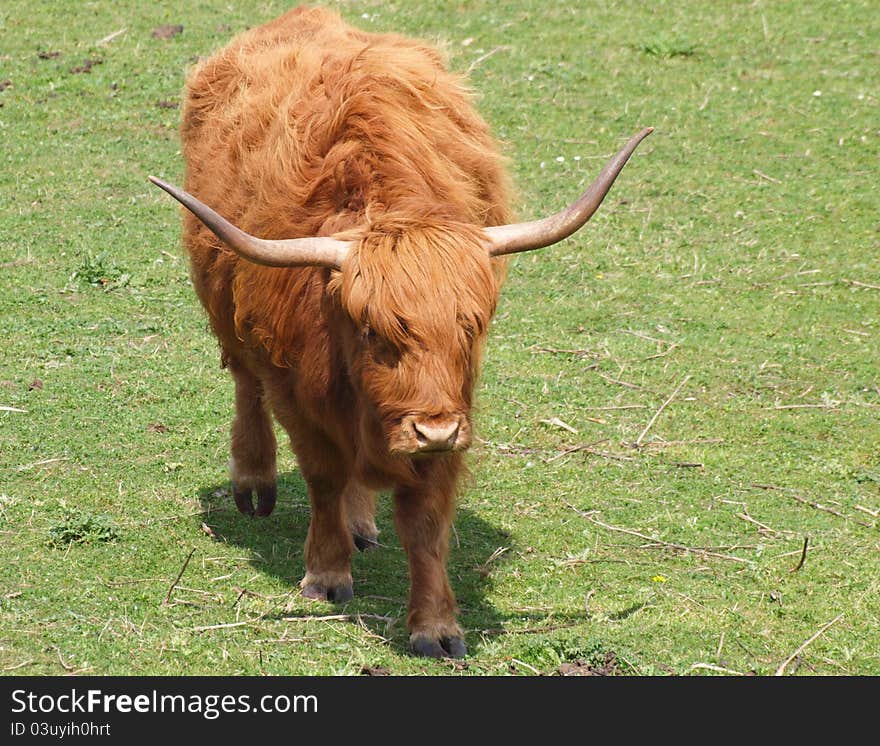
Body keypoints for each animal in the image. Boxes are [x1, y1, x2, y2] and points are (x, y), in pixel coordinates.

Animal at [151, 7, 648, 656]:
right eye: (371, 330)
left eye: (471, 326)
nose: (431, 431)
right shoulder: (295, 393)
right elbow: (323, 477)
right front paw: (326, 573)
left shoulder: (452, 410)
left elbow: (425, 521)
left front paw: (435, 625)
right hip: (226, 312)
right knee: (243, 384)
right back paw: (255, 482)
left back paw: (363, 521)